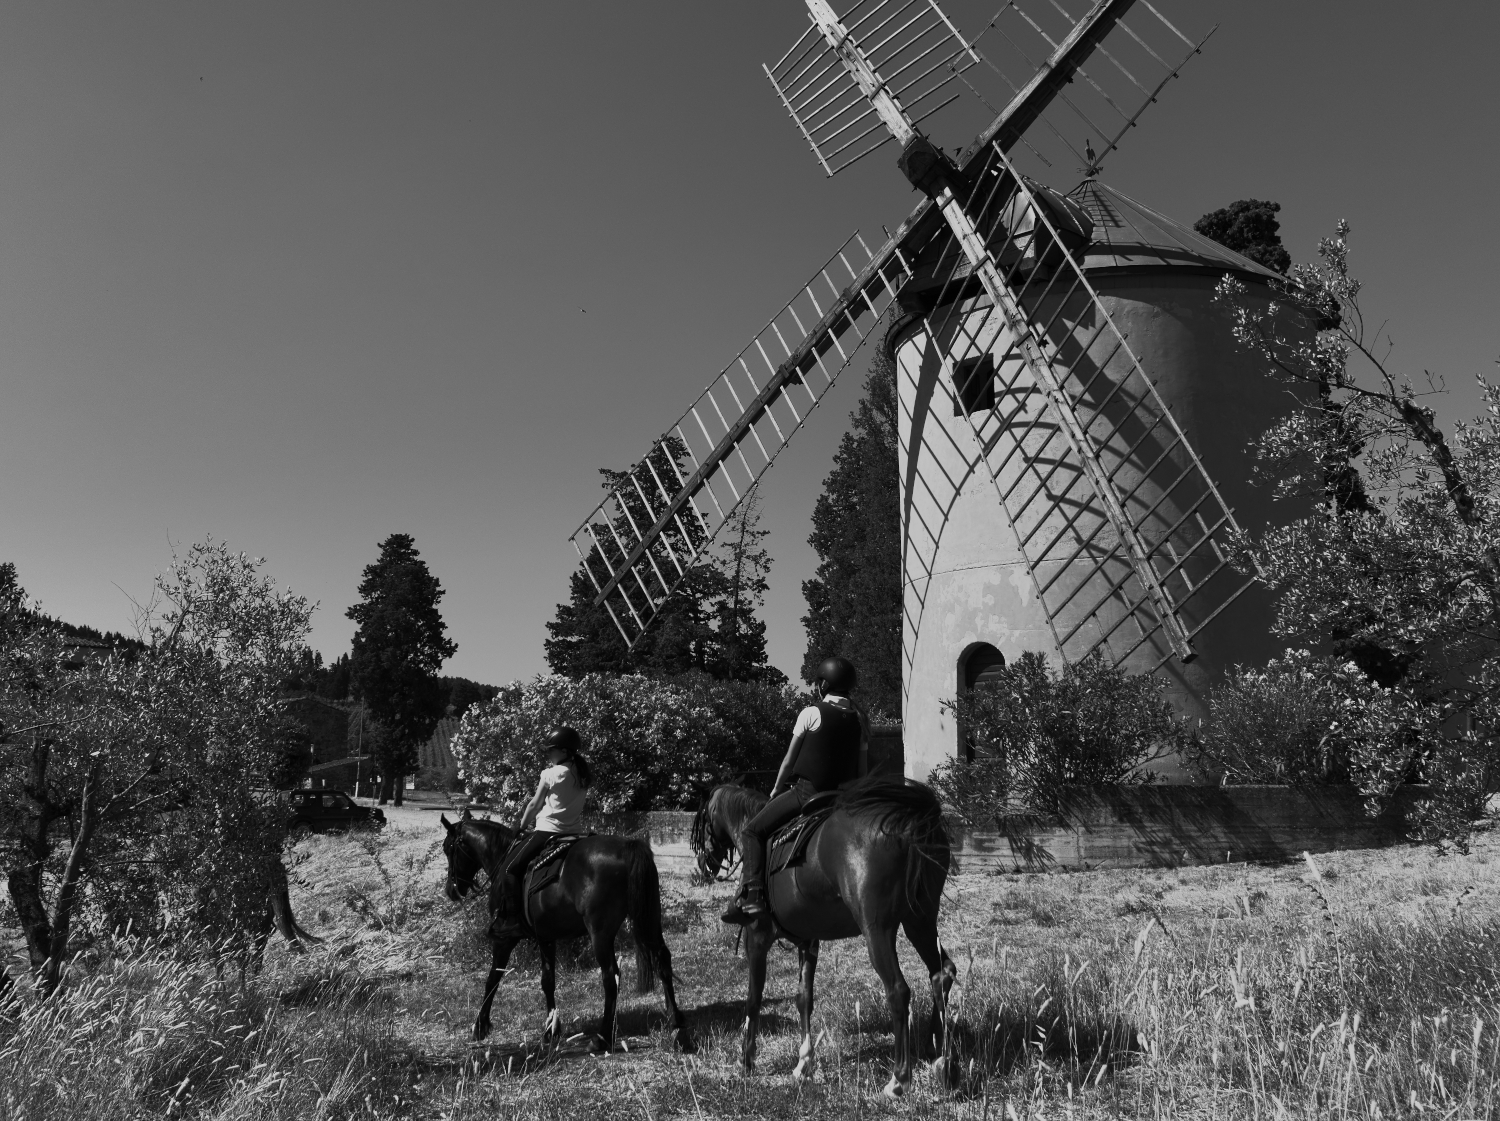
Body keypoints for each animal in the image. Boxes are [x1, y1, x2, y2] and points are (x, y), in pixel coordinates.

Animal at [438, 810, 696, 1056]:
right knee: (662, 960)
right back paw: (676, 1024)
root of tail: (627, 847)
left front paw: (480, 1026)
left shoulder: (505, 939)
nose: (451, 889)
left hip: (600, 933)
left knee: (611, 977)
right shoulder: (545, 937)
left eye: (447, 848)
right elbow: (547, 981)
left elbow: (492, 979)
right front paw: (551, 1029)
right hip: (650, 918)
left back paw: (603, 1037)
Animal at [696, 774, 954, 1098]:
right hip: (920, 921)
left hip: (878, 929)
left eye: (704, 819)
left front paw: (746, 1060)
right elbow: (803, 998)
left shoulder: (756, 938)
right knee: (942, 973)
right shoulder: (808, 941)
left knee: (898, 990)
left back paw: (898, 1080)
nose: (703, 862)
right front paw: (803, 1064)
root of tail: (908, 820)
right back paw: (939, 1054)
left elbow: (753, 999)